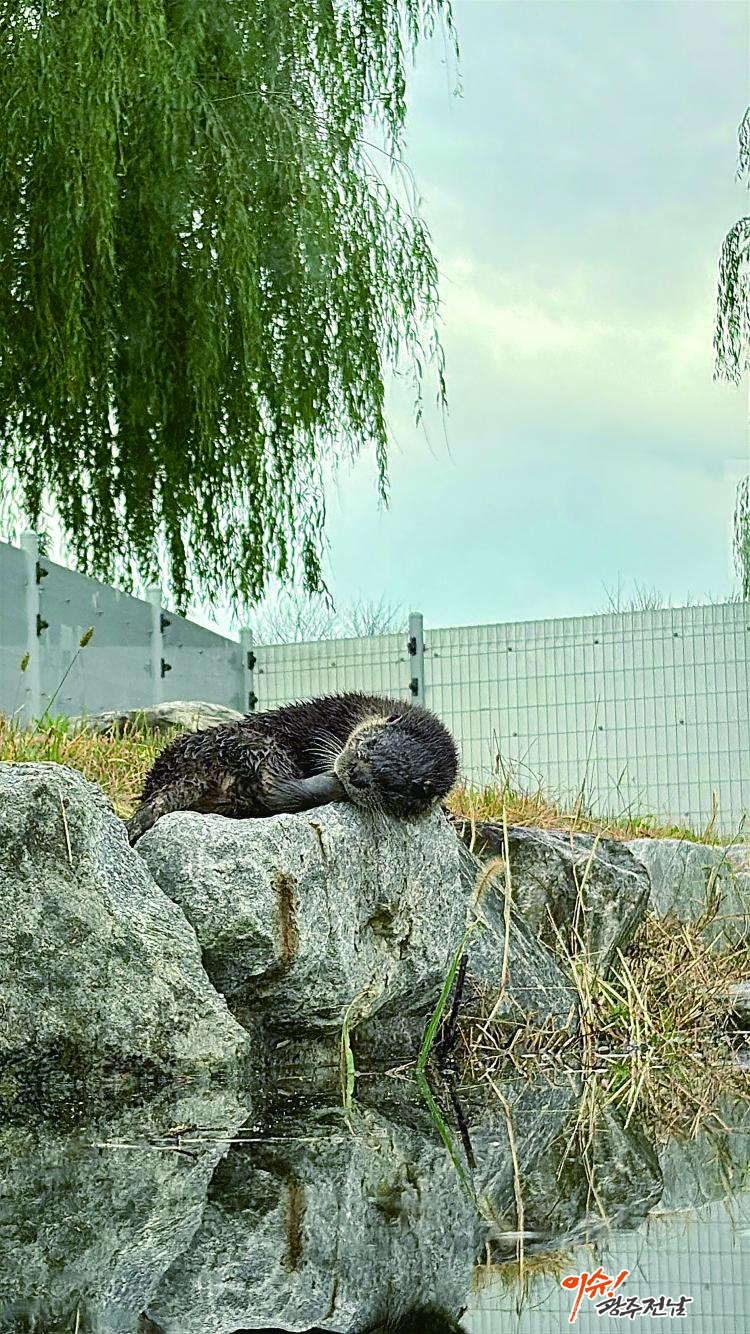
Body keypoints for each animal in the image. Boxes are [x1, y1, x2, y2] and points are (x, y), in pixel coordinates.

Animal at [126, 692, 459, 845]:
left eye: (390, 783)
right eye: (368, 742)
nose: (355, 774)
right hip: (251, 742)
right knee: (275, 789)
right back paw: (331, 782)